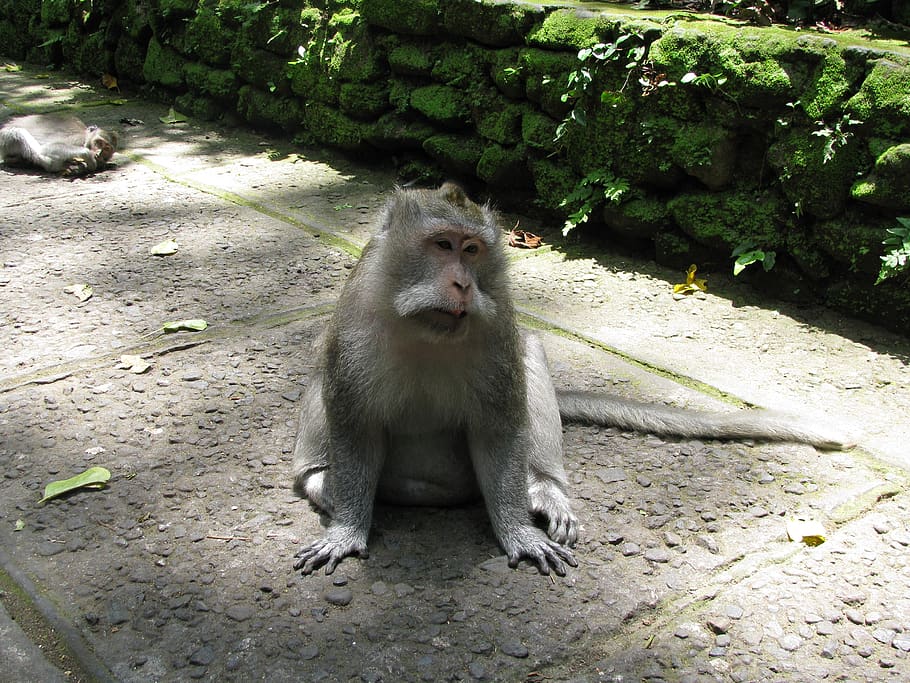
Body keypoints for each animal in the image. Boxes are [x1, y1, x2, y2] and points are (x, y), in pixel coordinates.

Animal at [291, 183, 850, 577]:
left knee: (532, 354)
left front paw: (518, 530)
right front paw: (347, 529)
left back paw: (544, 489)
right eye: (443, 244)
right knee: (320, 365)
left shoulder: (497, 326)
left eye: (472, 251)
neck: (426, 329)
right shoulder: (355, 327)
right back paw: (320, 481)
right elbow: (355, 426)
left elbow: (499, 430)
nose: (463, 284)